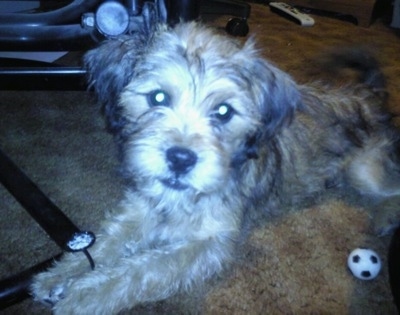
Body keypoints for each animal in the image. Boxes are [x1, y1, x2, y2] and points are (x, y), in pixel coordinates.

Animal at [31, 21, 400, 314]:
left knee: (391, 186)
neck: (180, 198)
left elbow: (143, 268)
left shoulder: (209, 242)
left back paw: (385, 217)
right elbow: (106, 242)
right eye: (158, 98)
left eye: (223, 111)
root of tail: (367, 94)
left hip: (364, 171)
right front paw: (60, 276)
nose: (180, 158)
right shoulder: (142, 207)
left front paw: (85, 294)